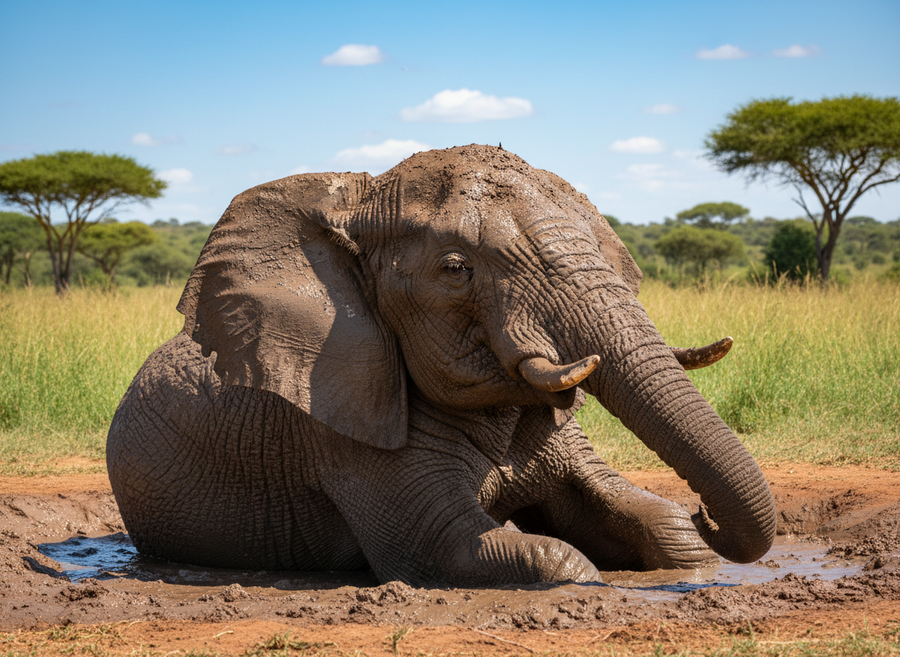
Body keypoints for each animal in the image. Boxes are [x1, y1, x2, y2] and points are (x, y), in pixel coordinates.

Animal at [106, 144, 776, 587]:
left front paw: (691, 539)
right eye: (456, 270)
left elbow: (660, 528)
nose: (706, 511)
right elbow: (465, 546)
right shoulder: (342, 430)